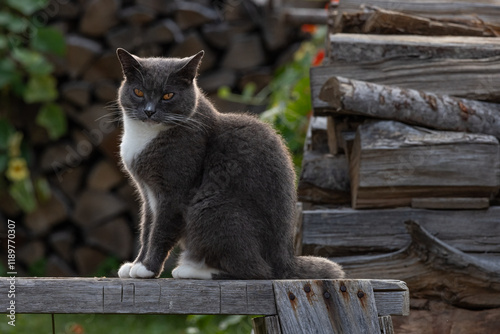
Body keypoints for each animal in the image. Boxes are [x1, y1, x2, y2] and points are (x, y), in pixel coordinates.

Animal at [116, 47, 344, 280]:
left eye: (168, 95)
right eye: (138, 92)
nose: (149, 111)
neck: (145, 135)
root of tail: (286, 258)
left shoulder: (174, 193)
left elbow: (160, 231)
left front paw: (147, 269)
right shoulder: (147, 193)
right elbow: (147, 229)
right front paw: (135, 264)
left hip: (213, 208)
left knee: (257, 271)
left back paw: (192, 270)